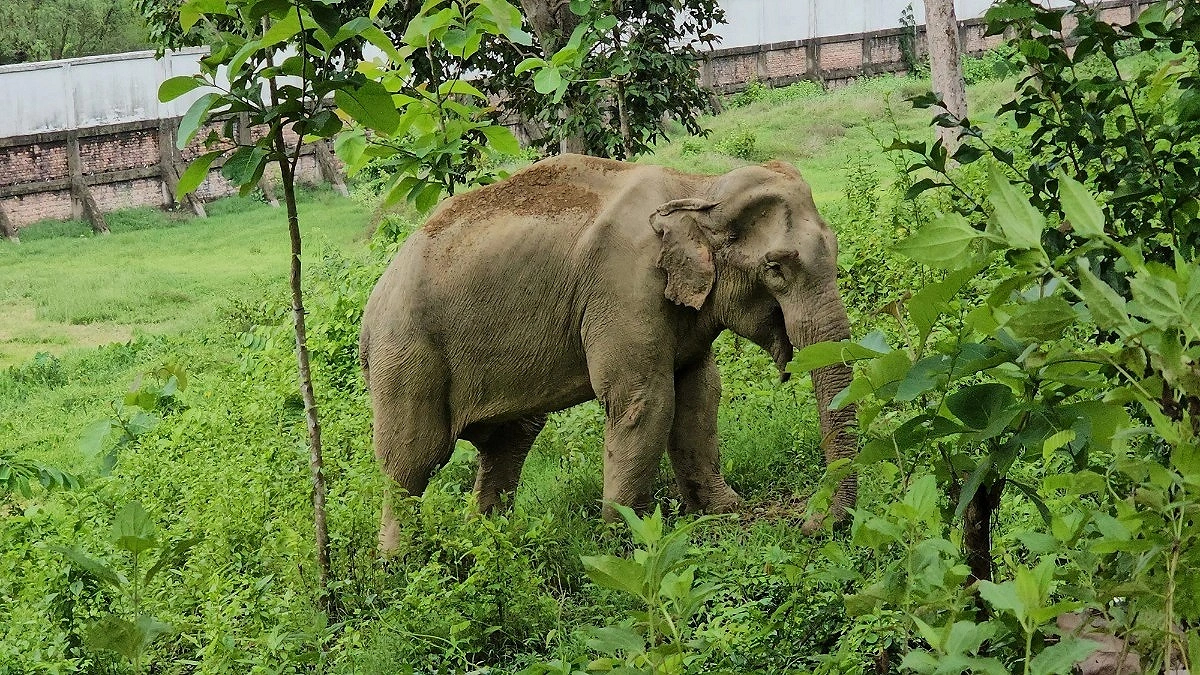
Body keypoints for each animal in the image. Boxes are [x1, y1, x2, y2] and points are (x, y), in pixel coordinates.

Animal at [359, 153, 856, 551]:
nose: (812, 526)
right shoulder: (624, 287)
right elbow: (644, 400)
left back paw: (492, 542)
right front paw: (627, 540)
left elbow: (700, 393)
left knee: (508, 444)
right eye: (775, 268)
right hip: (405, 354)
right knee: (412, 460)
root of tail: (373, 300)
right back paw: (398, 564)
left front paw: (723, 510)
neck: (697, 187)